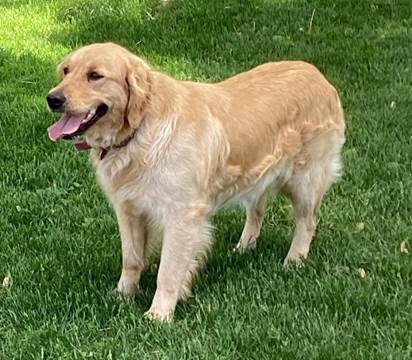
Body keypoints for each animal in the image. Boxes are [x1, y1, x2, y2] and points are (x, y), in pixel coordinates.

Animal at [46, 42, 346, 320]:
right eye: (66, 71)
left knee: (307, 222)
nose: (52, 98)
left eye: (95, 75)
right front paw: (122, 296)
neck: (141, 129)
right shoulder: (129, 209)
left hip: (306, 180)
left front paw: (159, 315)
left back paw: (294, 260)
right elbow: (131, 259)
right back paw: (244, 247)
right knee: (256, 211)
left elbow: (168, 272)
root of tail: (317, 73)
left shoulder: (182, 216)